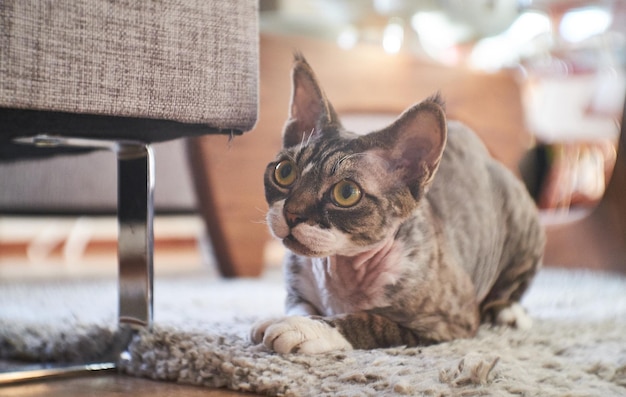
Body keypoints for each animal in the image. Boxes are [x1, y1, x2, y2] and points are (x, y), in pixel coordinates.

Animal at [249, 52, 540, 352]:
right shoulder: (297, 294)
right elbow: (300, 308)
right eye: (284, 172)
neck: (338, 270)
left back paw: (509, 312)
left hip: (522, 219)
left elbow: (372, 322)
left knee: (513, 285)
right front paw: (284, 319)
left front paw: (306, 329)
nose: (291, 213)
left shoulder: (450, 320)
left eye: (346, 193)